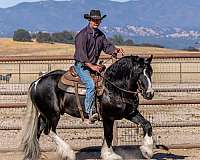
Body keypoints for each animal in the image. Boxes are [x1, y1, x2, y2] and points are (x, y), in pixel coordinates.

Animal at [20, 55, 155, 160]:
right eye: (138, 72)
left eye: (150, 72)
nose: (150, 93)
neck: (113, 87)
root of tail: (37, 82)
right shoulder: (108, 117)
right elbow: (109, 135)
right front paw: (109, 155)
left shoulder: (130, 113)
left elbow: (147, 125)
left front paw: (147, 151)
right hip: (53, 114)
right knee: (49, 131)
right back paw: (68, 153)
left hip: (45, 114)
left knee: (38, 130)